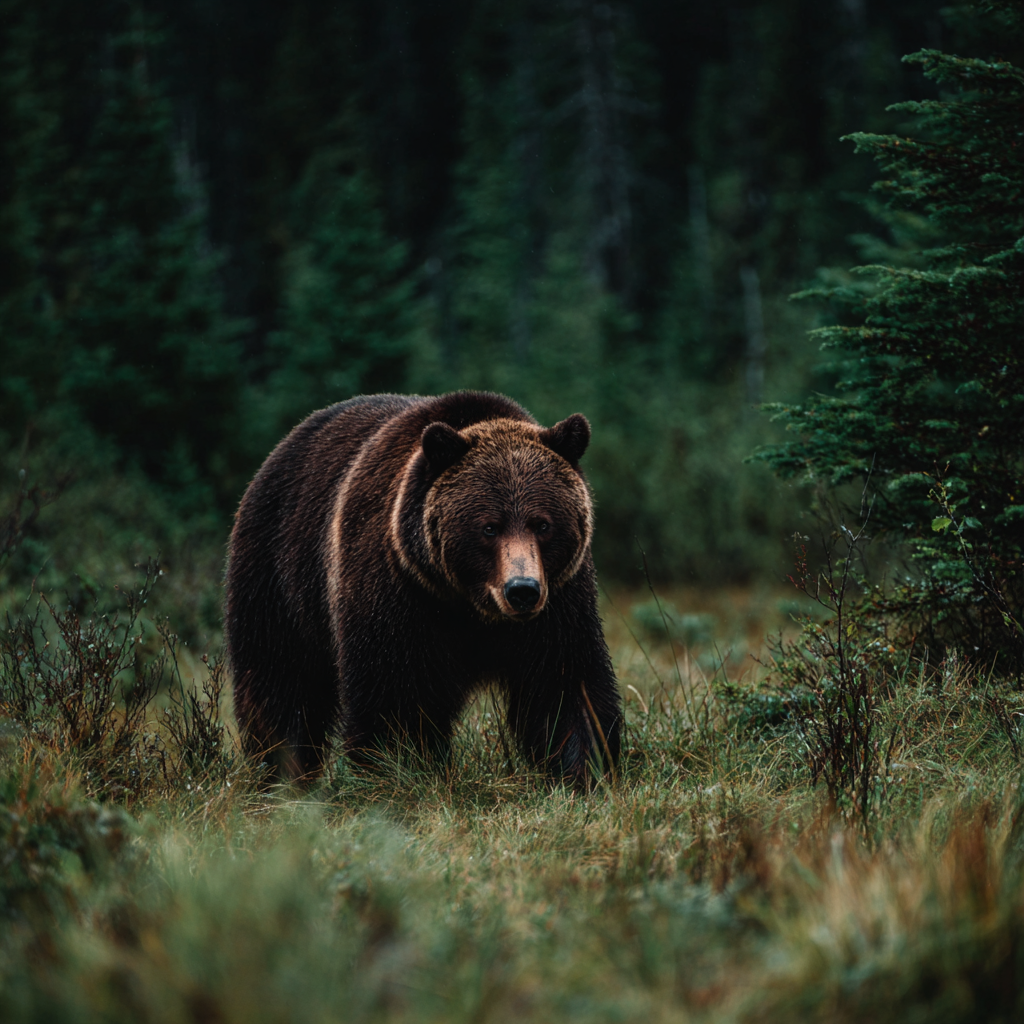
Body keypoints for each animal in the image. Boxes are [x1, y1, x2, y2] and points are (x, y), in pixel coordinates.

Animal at [225, 391, 621, 785]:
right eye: (489, 527)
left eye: (543, 524)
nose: (521, 590)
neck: (471, 607)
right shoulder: (400, 592)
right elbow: (393, 695)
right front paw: (400, 767)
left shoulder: (559, 602)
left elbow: (565, 685)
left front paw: (586, 771)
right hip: (279, 574)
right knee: (280, 681)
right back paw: (280, 771)